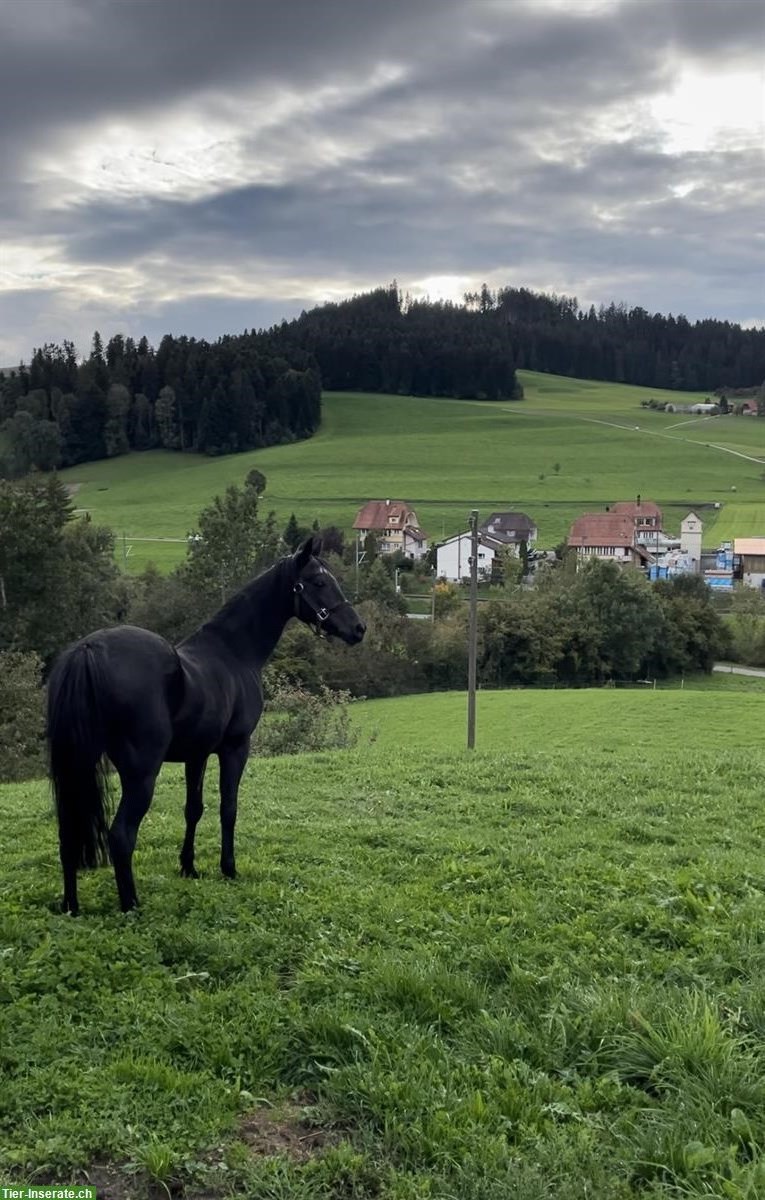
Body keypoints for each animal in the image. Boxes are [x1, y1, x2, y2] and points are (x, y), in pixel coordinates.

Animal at [46, 540, 366, 912]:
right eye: (318, 582)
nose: (358, 629)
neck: (233, 652)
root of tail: (88, 650)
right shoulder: (235, 748)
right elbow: (229, 808)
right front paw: (229, 868)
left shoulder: (196, 755)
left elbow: (193, 809)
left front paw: (189, 867)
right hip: (141, 773)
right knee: (121, 835)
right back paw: (131, 905)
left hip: (77, 766)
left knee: (68, 832)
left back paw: (71, 905)